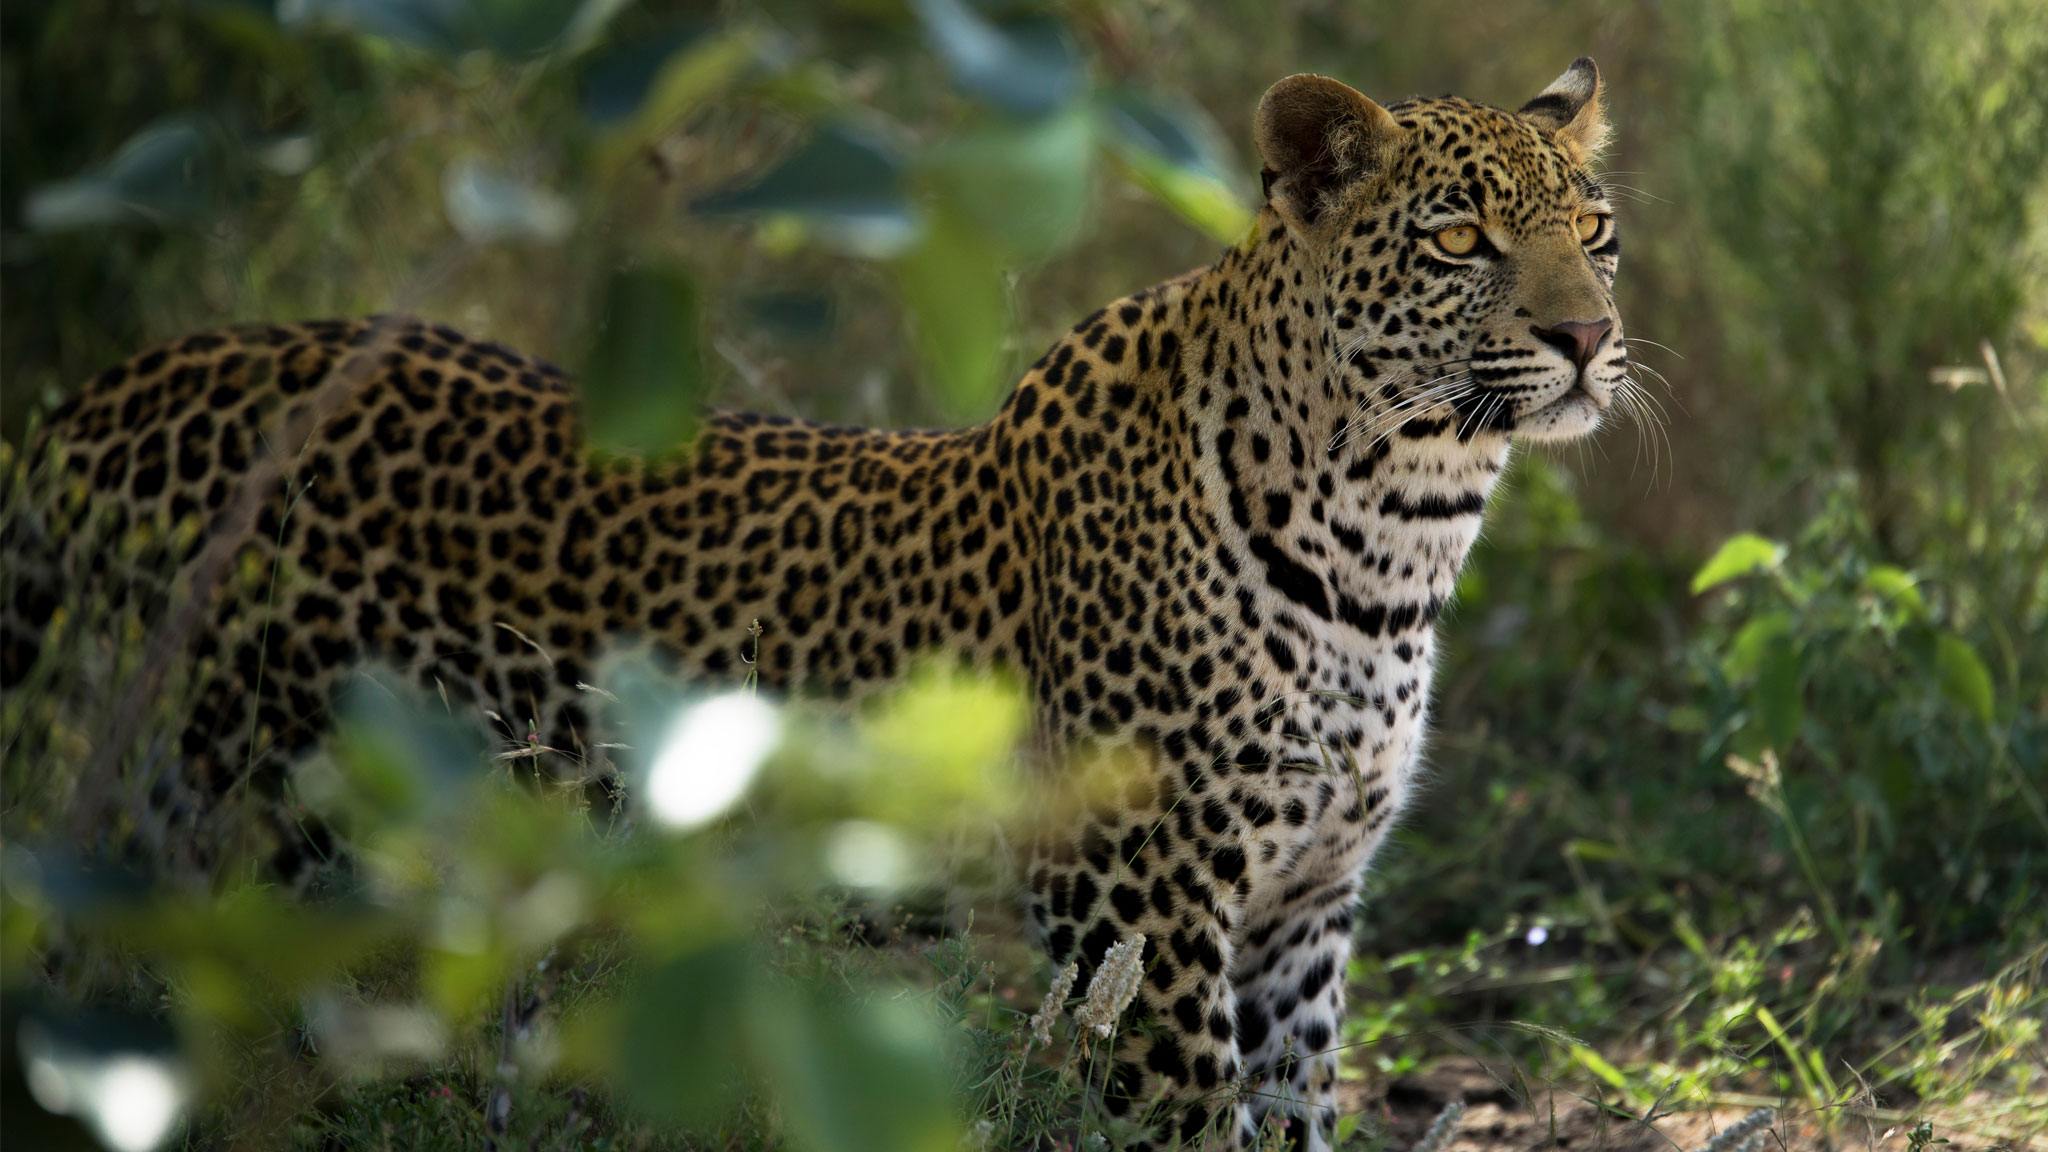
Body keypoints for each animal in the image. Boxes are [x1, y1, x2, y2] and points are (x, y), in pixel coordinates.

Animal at [4, 60, 1630, 1147]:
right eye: (1458, 240)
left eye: (1596, 231)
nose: (1589, 336)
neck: (1392, 542)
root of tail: (103, 397)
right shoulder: (1141, 908)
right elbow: (1183, 1123)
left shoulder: (1302, 914)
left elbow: (1292, 1116)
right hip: (236, 831)